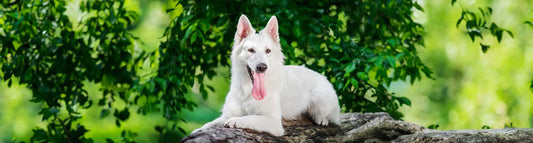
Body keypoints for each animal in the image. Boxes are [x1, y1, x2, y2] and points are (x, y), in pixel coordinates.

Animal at [192, 14, 340, 136]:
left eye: (268, 50)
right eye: (251, 50)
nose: (262, 67)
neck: (248, 90)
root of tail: (322, 77)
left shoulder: (272, 121)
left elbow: (249, 117)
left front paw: (235, 120)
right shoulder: (226, 114)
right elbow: (209, 124)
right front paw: (198, 130)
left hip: (320, 97)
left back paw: (321, 119)